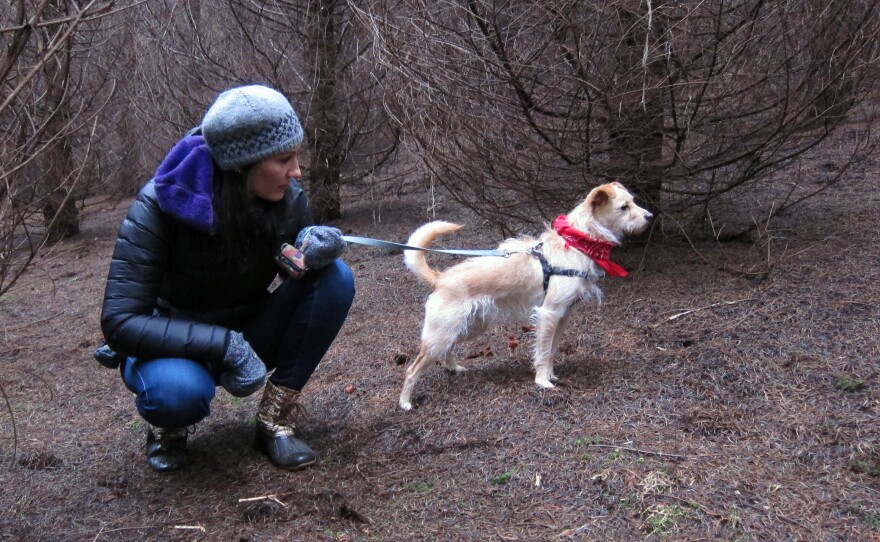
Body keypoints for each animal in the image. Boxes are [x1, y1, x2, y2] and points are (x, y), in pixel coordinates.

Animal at [400, 181, 652, 410]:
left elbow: (551, 350)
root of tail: (440, 278)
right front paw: (542, 381)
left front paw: (550, 374)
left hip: (468, 328)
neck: (577, 242)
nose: (650, 217)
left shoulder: (562, 316)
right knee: (413, 369)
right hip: (442, 334)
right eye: (624, 207)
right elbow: (542, 351)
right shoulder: (549, 313)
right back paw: (405, 402)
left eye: (633, 201)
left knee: (449, 349)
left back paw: (453, 368)